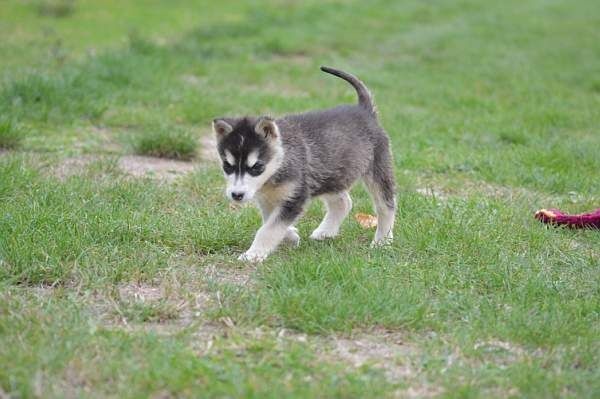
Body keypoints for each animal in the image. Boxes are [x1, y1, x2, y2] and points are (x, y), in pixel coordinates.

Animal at [213, 66, 396, 262]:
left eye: (256, 167)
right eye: (228, 166)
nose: (236, 195)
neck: (281, 160)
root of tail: (364, 110)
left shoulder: (295, 197)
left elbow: (268, 229)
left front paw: (253, 254)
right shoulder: (268, 199)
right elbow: (270, 222)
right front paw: (291, 235)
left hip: (378, 170)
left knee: (386, 207)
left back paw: (382, 241)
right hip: (331, 175)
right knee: (344, 202)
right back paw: (326, 232)